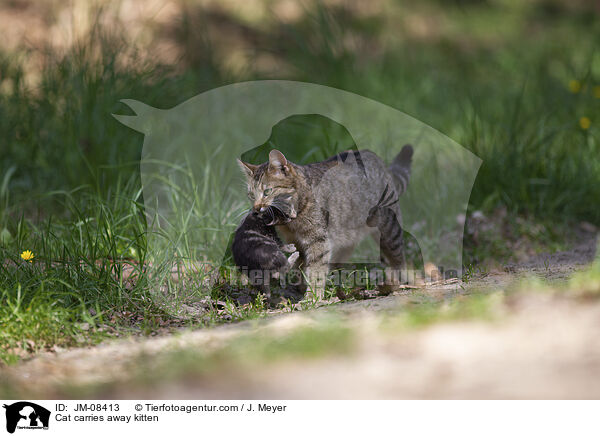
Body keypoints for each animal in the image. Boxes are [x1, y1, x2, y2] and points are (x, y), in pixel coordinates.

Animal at [238, 145, 412, 298]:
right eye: (251, 195)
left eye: (267, 191)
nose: (256, 208)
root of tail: (377, 159)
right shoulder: (296, 242)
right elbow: (300, 267)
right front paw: (301, 288)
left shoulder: (318, 241)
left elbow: (316, 271)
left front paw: (312, 297)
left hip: (389, 231)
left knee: (399, 258)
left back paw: (400, 280)